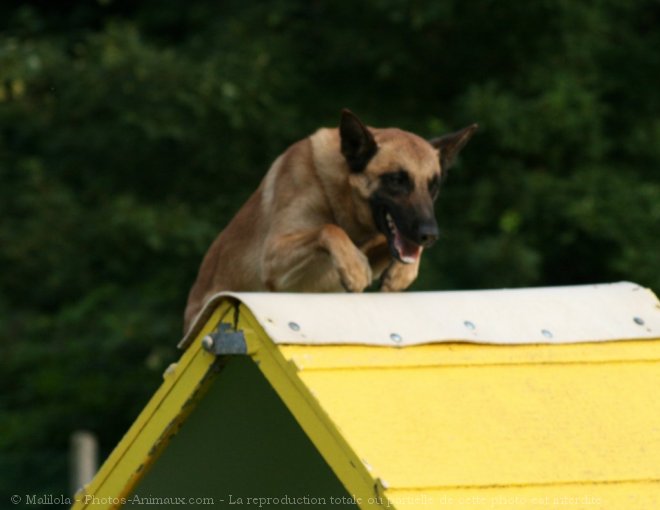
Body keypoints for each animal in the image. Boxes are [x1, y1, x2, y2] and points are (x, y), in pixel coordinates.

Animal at [183, 109, 476, 332]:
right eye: (396, 180)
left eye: (433, 187)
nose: (430, 235)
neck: (338, 191)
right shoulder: (274, 258)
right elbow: (329, 228)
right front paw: (355, 268)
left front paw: (401, 274)